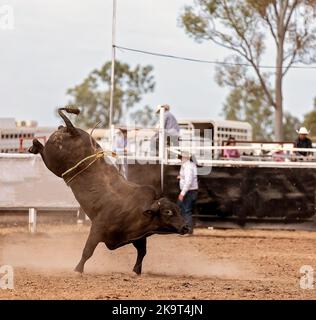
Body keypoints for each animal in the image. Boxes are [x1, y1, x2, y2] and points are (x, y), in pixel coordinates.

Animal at [28, 107, 189, 276]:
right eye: (168, 212)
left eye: (178, 210)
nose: (186, 227)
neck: (137, 208)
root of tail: (73, 130)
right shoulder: (97, 229)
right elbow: (87, 251)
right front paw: (78, 269)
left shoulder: (137, 236)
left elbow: (142, 252)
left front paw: (136, 270)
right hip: (52, 161)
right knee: (43, 151)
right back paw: (34, 145)